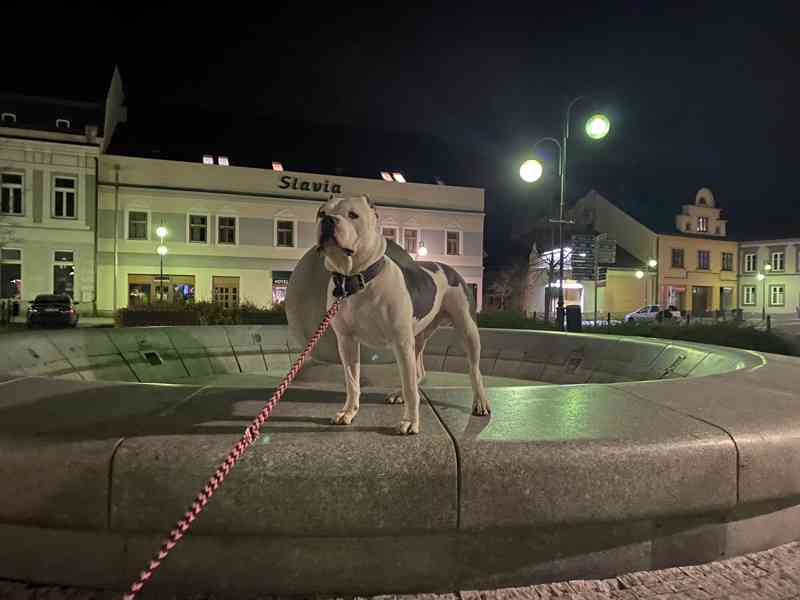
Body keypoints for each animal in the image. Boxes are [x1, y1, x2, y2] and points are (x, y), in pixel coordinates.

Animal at [316, 195, 490, 434]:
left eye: (353, 215)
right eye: (321, 213)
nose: (328, 221)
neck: (356, 279)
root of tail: (448, 268)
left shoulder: (400, 341)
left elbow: (409, 387)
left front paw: (410, 421)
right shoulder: (346, 341)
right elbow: (352, 382)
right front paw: (348, 412)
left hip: (467, 331)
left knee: (473, 370)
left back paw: (480, 402)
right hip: (417, 338)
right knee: (417, 372)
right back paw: (399, 394)